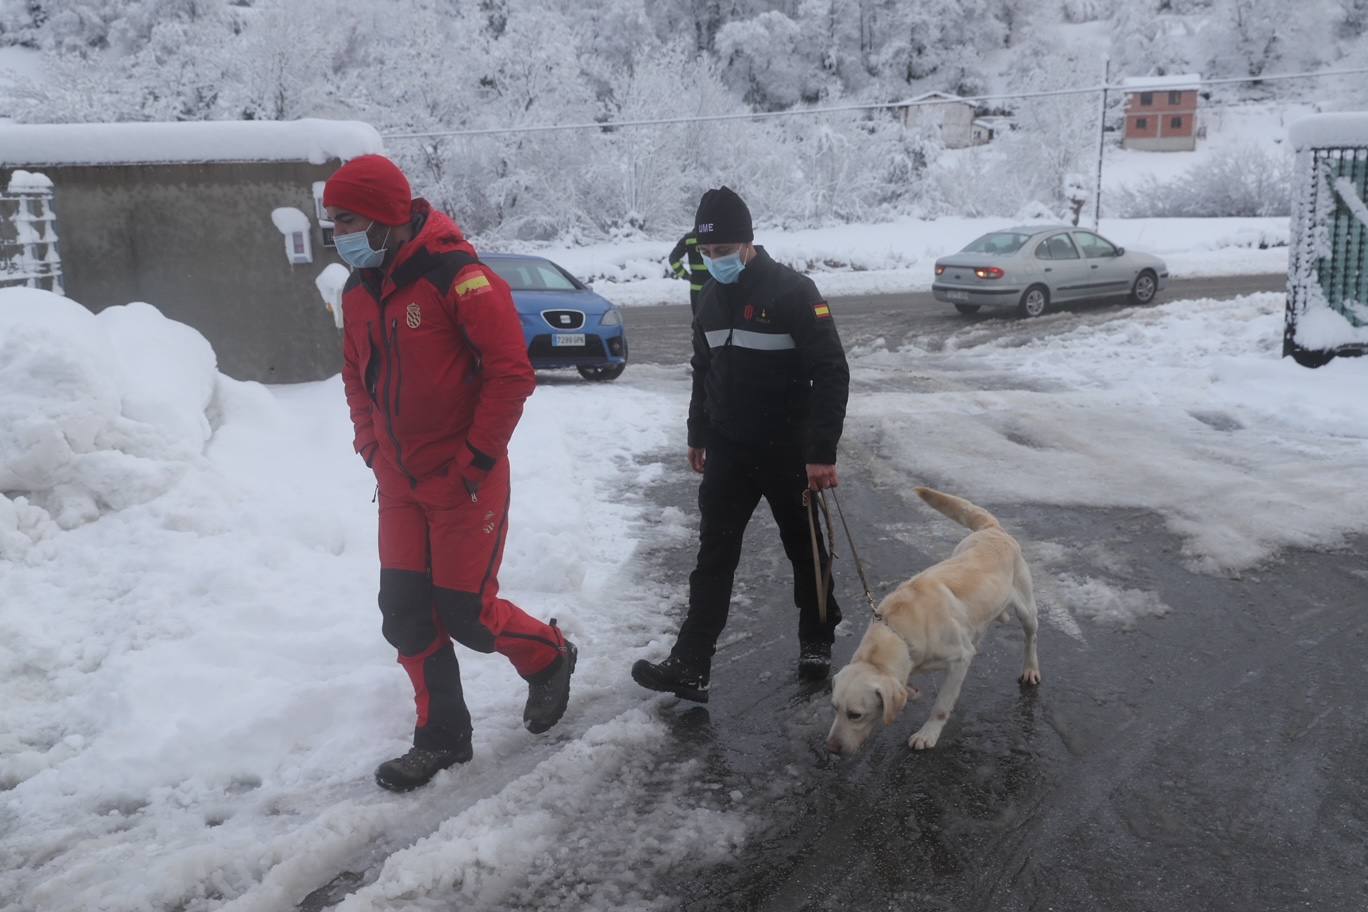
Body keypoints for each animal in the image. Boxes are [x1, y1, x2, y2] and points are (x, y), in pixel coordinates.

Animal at [826, 489, 1039, 754]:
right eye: (834, 708)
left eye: (855, 714)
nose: (831, 747)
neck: (898, 631)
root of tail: (992, 529)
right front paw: (910, 692)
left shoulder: (960, 659)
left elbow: (941, 706)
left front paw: (927, 734)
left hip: (1026, 608)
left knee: (1031, 637)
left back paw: (1030, 668)